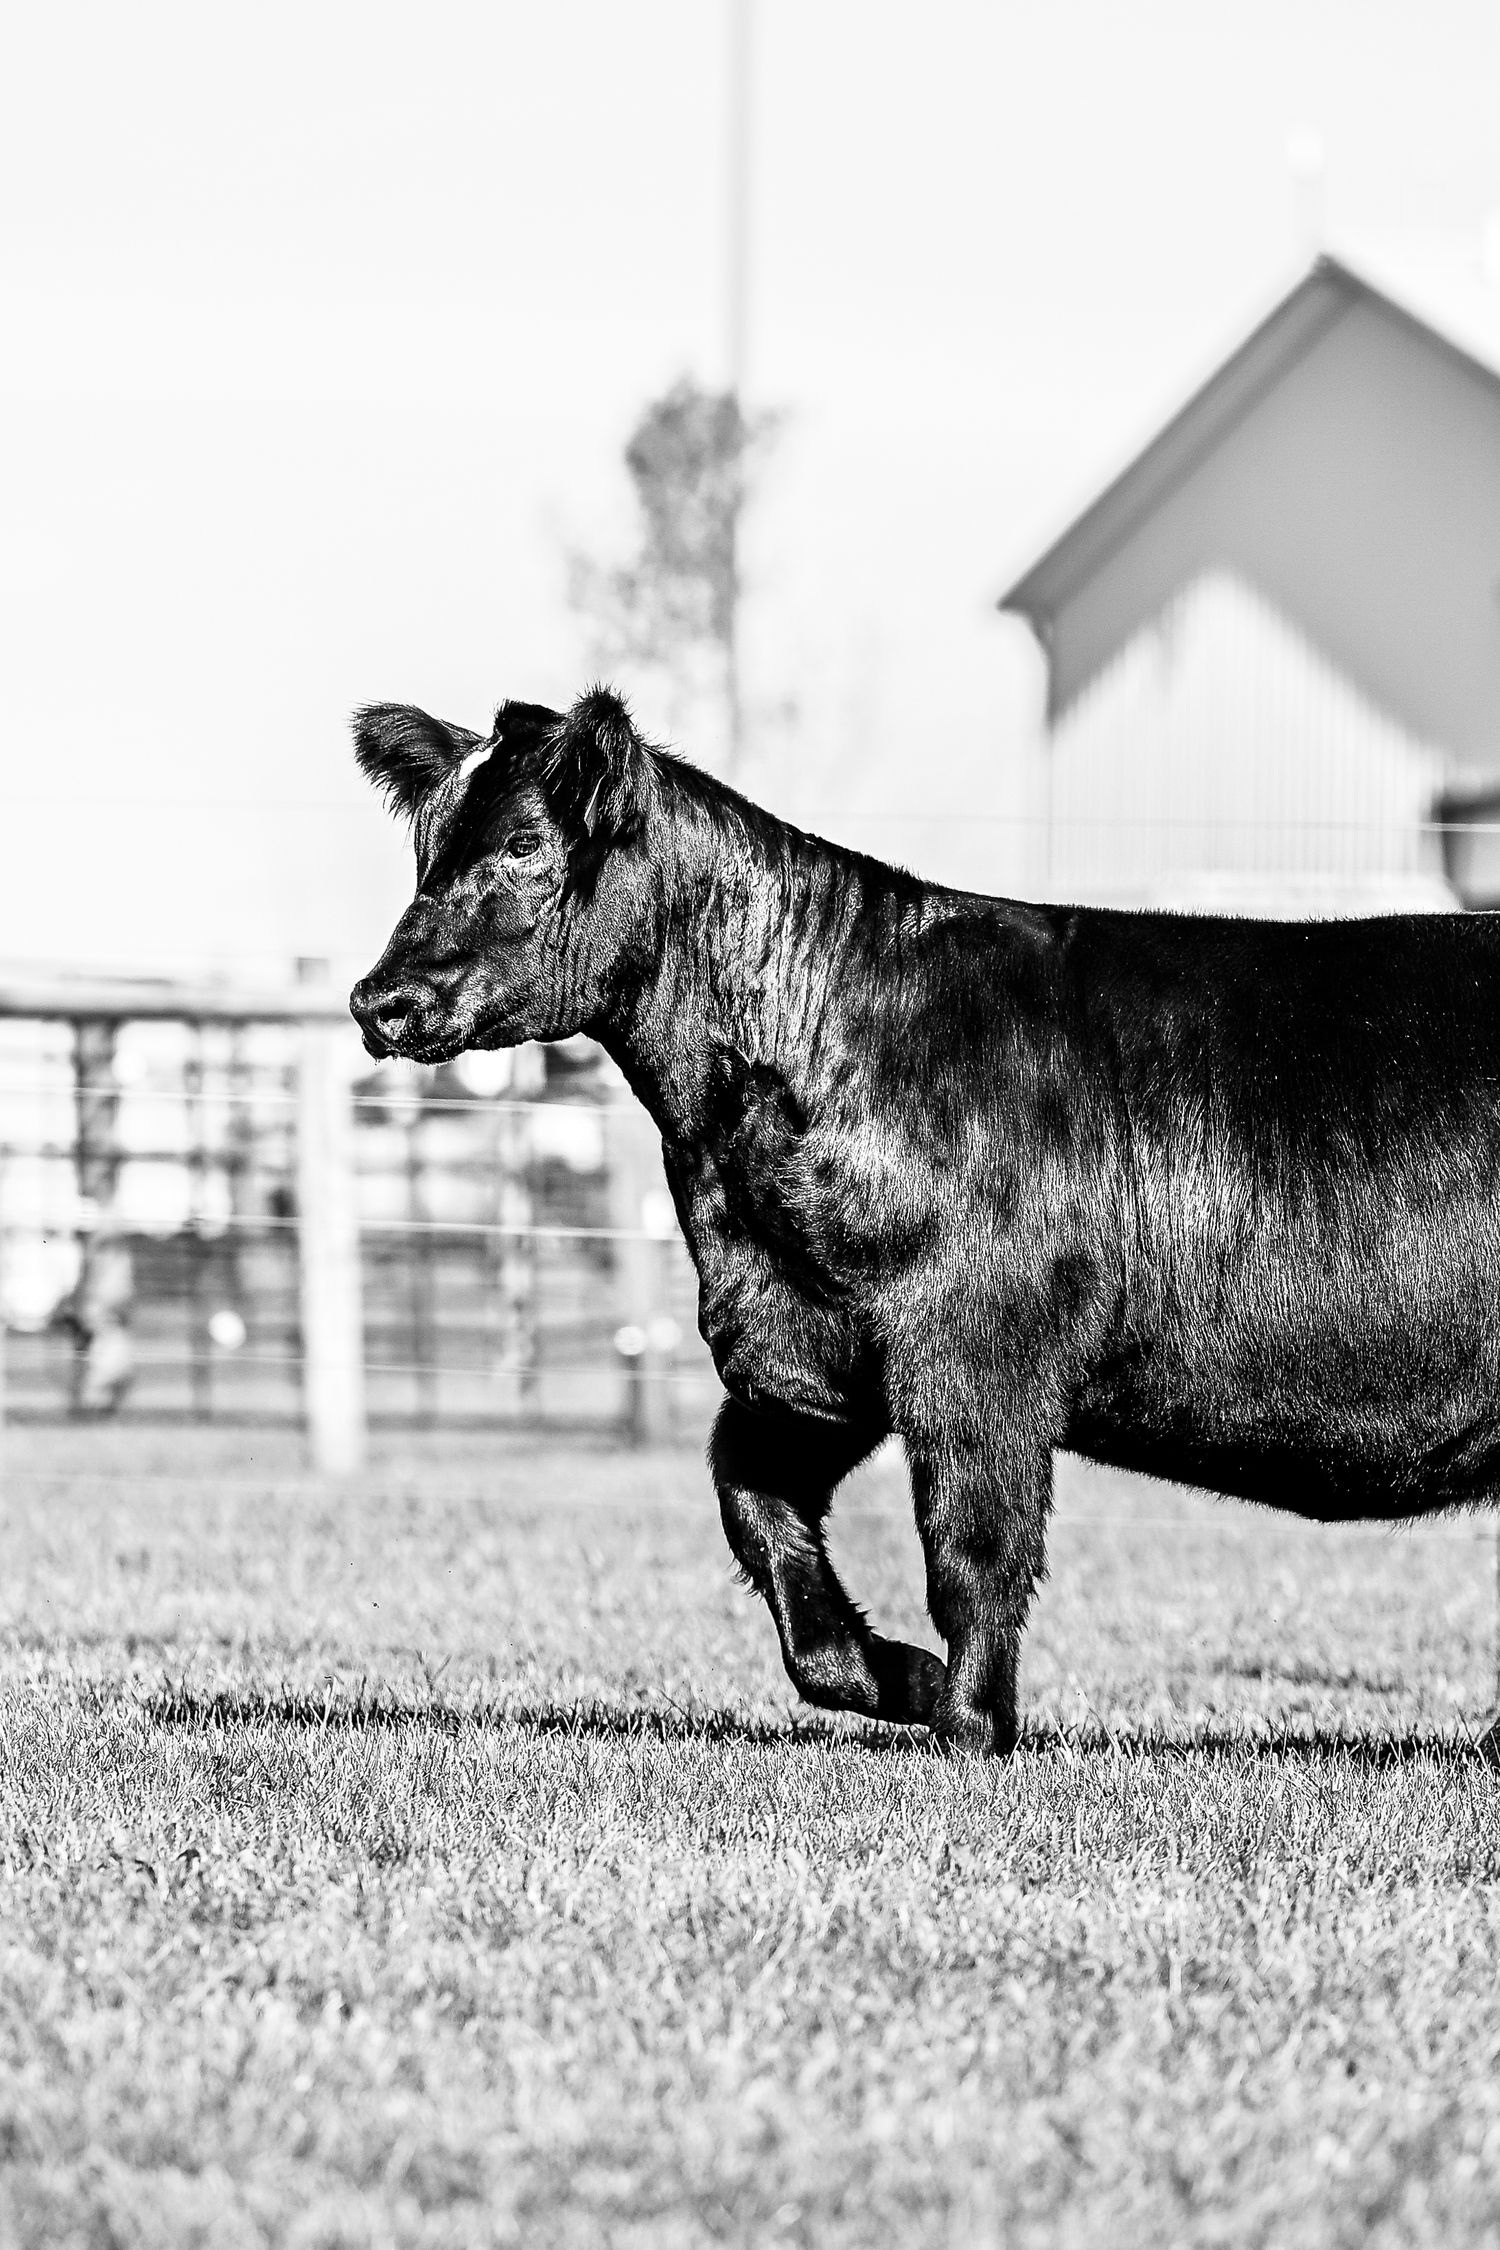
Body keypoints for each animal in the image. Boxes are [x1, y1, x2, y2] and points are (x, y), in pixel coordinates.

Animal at [351, 684, 1500, 1753]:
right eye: (426, 847)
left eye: (524, 843)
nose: (378, 1000)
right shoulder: (813, 1347)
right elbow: (754, 1508)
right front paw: (898, 1675)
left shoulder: (976, 1354)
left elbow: (973, 1552)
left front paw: (969, 1726)